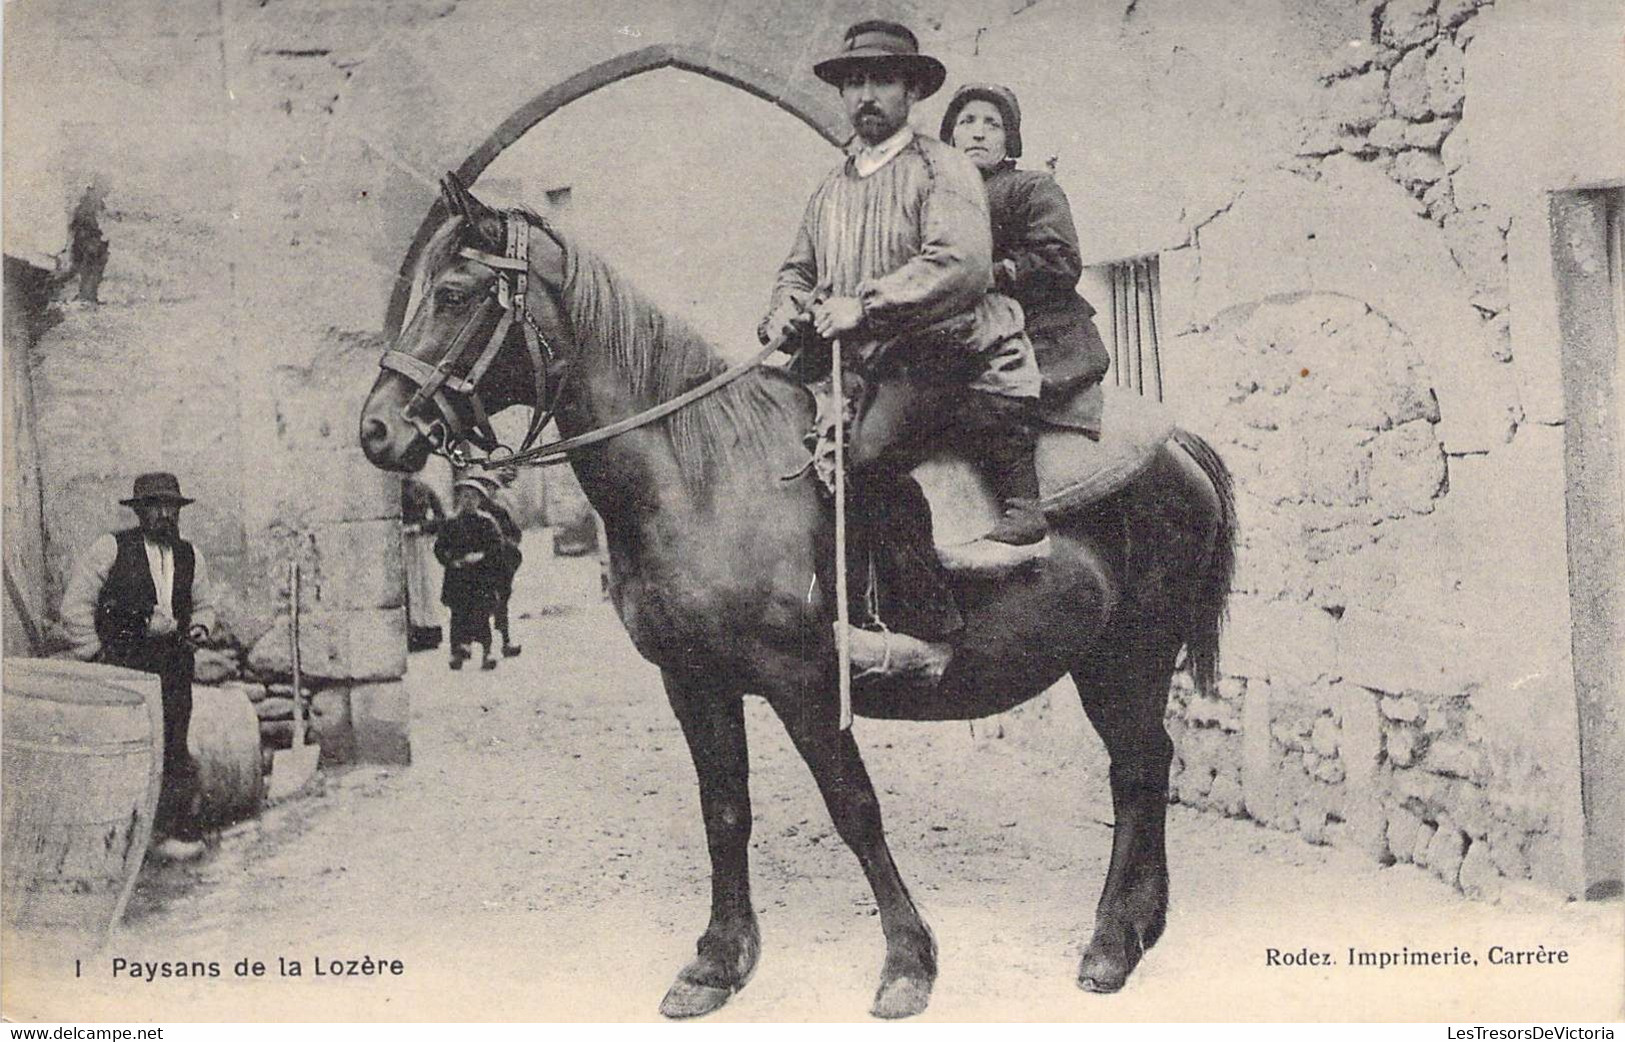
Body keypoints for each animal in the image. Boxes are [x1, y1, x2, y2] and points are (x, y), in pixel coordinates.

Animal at [362, 177, 1235, 1014]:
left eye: (454, 292)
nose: (376, 430)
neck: (704, 474)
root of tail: (1177, 446)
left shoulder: (802, 682)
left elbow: (854, 808)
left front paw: (907, 963)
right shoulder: (693, 682)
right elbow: (724, 811)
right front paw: (717, 963)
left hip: (1130, 655)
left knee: (1135, 770)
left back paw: (1110, 944)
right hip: (1107, 661)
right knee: (1144, 765)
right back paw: (1139, 925)